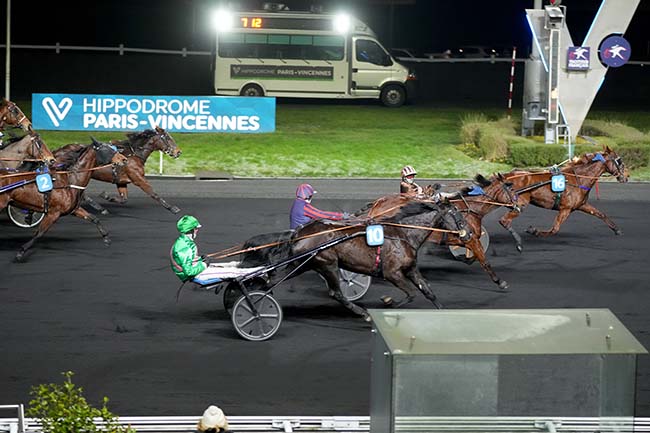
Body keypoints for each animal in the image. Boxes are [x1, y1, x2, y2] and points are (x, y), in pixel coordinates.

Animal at [235, 199, 468, 318]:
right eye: (458, 215)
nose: (468, 233)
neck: (403, 233)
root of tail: (299, 232)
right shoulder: (392, 272)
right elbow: (410, 294)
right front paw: (388, 303)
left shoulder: (410, 268)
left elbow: (428, 291)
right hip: (327, 263)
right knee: (336, 293)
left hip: (302, 263)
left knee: (272, 280)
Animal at [362, 172, 520, 290]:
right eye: (511, 189)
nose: (518, 206)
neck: (469, 209)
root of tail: (377, 203)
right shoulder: (470, 239)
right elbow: (484, 260)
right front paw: (500, 281)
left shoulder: (469, 239)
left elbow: (476, 256)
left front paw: (465, 258)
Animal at [496, 145, 628, 250]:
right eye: (619, 161)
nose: (626, 176)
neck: (579, 179)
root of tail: (507, 176)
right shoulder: (565, 209)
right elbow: (555, 229)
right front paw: (534, 231)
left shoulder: (581, 205)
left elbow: (601, 214)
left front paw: (617, 229)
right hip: (519, 203)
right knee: (504, 220)